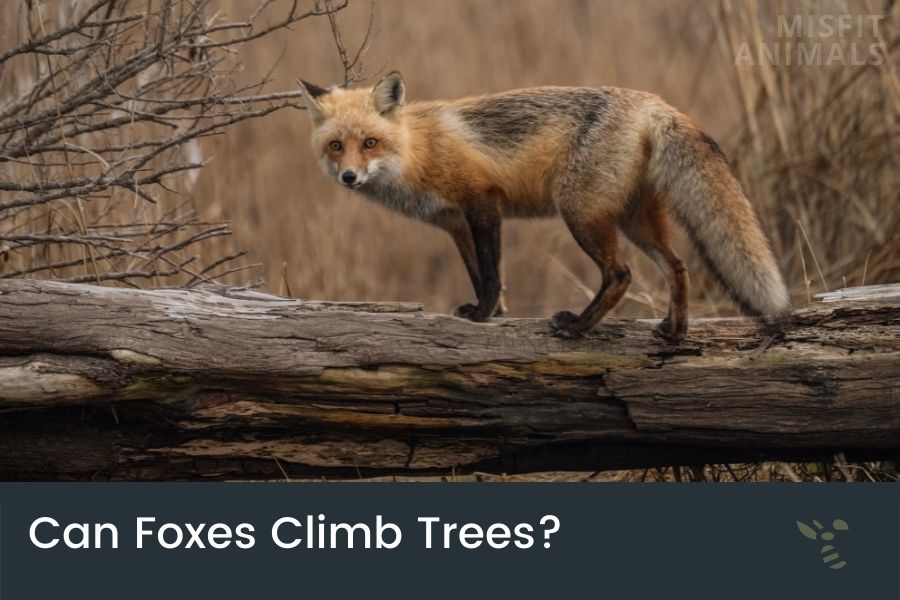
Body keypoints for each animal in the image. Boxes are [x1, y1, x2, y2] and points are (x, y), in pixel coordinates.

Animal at [297, 72, 790, 342]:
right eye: (336, 146)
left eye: (370, 143)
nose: (349, 177)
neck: (418, 150)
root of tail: (654, 102)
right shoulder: (456, 224)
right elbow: (480, 273)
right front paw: (493, 314)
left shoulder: (483, 203)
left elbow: (491, 274)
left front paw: (483, 316)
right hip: (635, 221)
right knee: (678, 266)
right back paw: (674, 331)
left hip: (581, 213)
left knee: (621, 274)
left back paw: (579, 327)